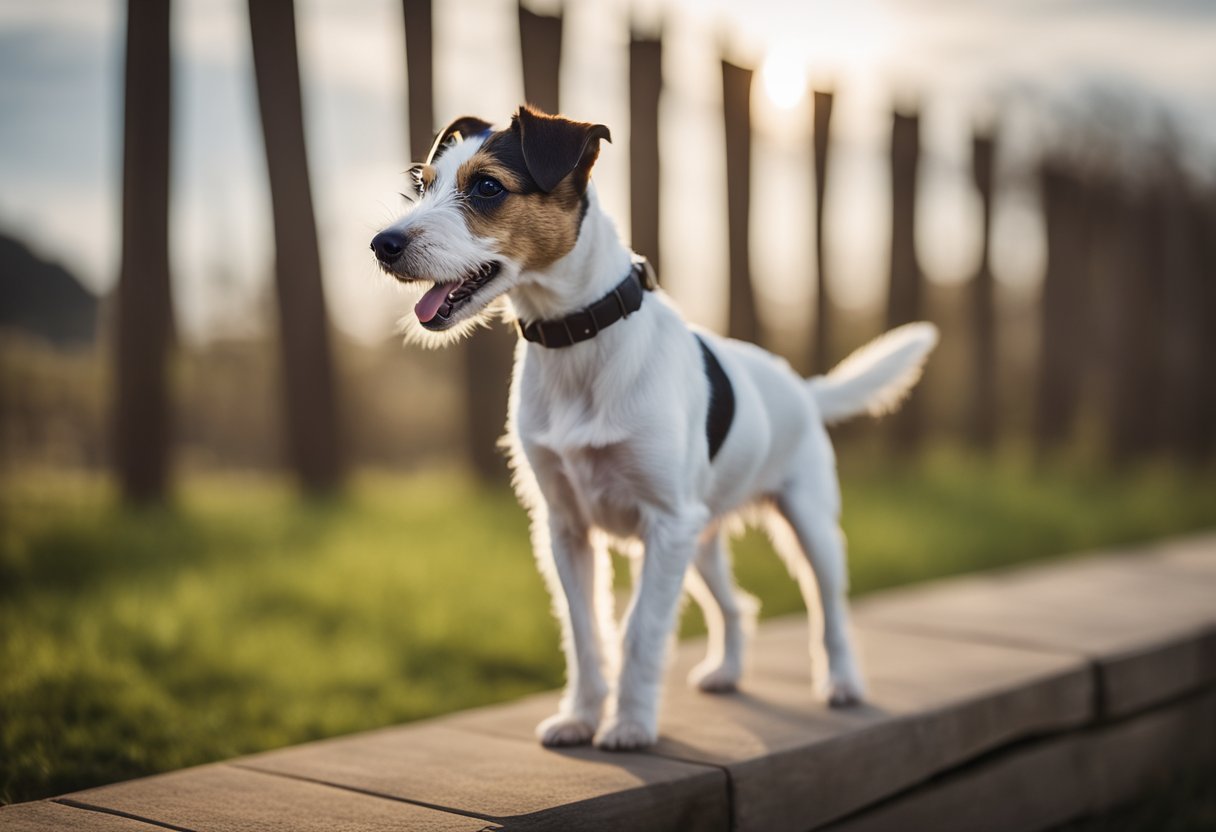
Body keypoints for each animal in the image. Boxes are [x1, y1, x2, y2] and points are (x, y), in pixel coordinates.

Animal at [369, 105, 938, 754]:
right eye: (421, 184)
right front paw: (581, 717)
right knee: (737, 605)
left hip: (806, 524)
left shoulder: (664, 524)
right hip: (701, 537)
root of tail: (801, 385)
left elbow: (641, 631)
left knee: (831, 610)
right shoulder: (568, 530)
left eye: (488, 187)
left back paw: (842, 684)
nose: (382, 245)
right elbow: (586, 634)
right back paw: (727, 672)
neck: (577, 339)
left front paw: (630, 726)